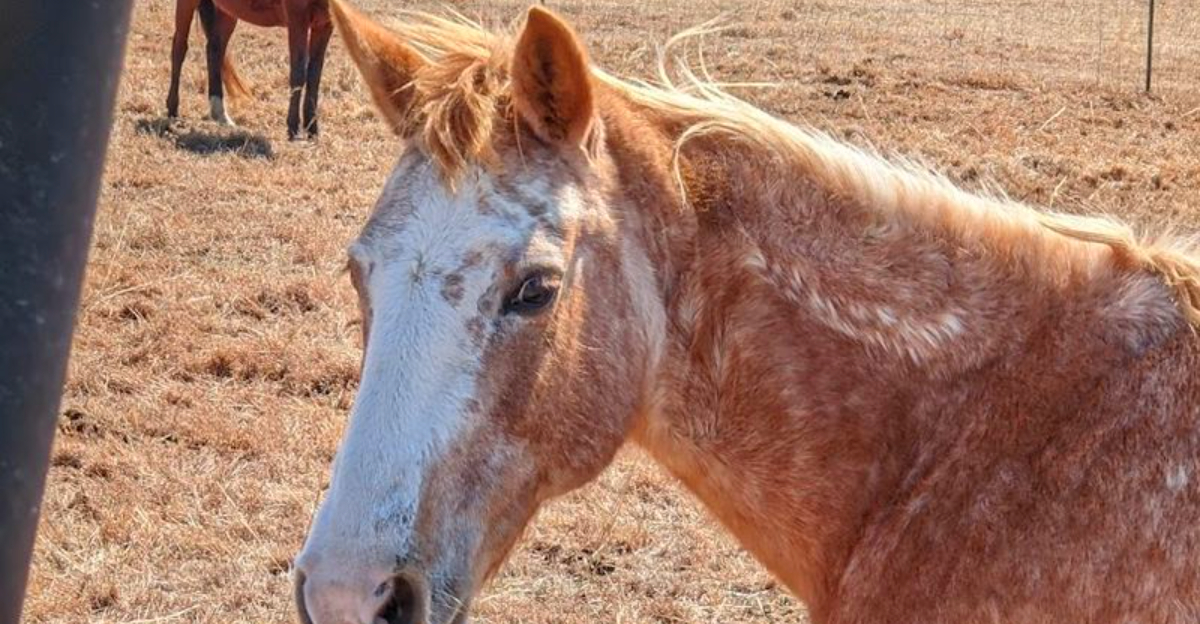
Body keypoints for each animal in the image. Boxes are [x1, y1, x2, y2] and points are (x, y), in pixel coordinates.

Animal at [166, 0, 332, 139]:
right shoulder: (297, 20)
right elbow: (299, 73)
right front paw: (294, 130)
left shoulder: (324, 25)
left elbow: (314, 76)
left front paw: (313, 131)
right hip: (188, 4)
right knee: (179, 48)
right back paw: (173, 112)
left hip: (228, 11)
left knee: (215, 49)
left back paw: (221, 114)